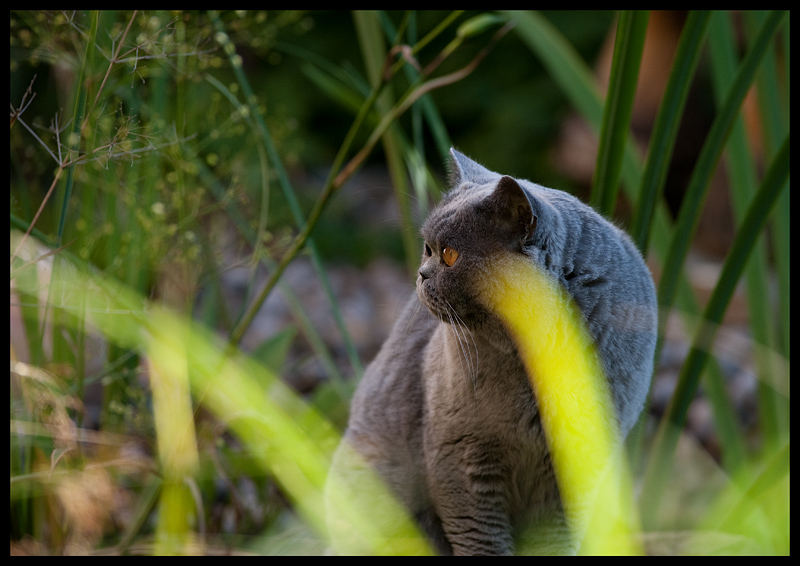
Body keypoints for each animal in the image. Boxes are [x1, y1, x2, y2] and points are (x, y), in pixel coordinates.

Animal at [324, 149, 656, 556]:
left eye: (450, 255)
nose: (421, 273)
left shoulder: (577, 470)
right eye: (427, 249)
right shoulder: (462, 458)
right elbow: (480, 539)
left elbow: (551, 543)